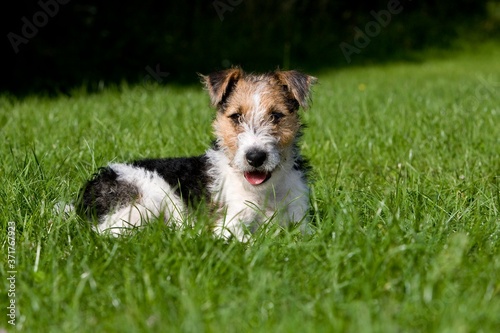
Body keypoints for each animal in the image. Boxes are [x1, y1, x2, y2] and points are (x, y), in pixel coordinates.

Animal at [75, 67, 316, 240]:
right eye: (236, 117)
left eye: (276, 116)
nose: (255, 157)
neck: (266, 191)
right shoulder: (228, 225)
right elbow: (249, 242)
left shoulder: (300, 219)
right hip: (145, 201)